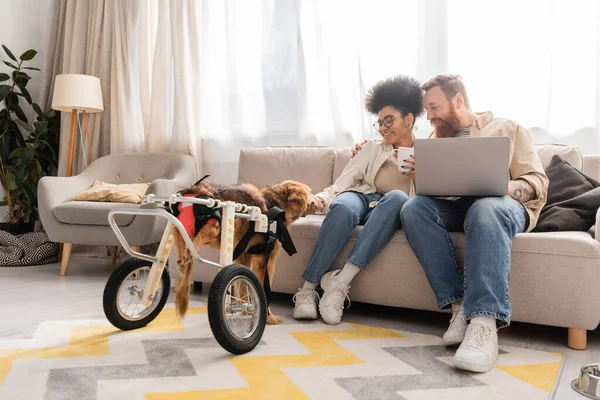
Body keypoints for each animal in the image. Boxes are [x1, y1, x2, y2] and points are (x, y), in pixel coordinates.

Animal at [171, 180, 322, 324]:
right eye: (310, 192)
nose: (322, 201)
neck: (278, 202)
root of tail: (193, 189)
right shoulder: (266, 261)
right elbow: (265, 289)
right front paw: (268, 318)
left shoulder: (244, 256)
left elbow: (242, 287)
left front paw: (245, 310)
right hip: (215, 225)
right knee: (201, 234)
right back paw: (188, 254)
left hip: (185, 226)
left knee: (176, 230)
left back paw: (181, 259)